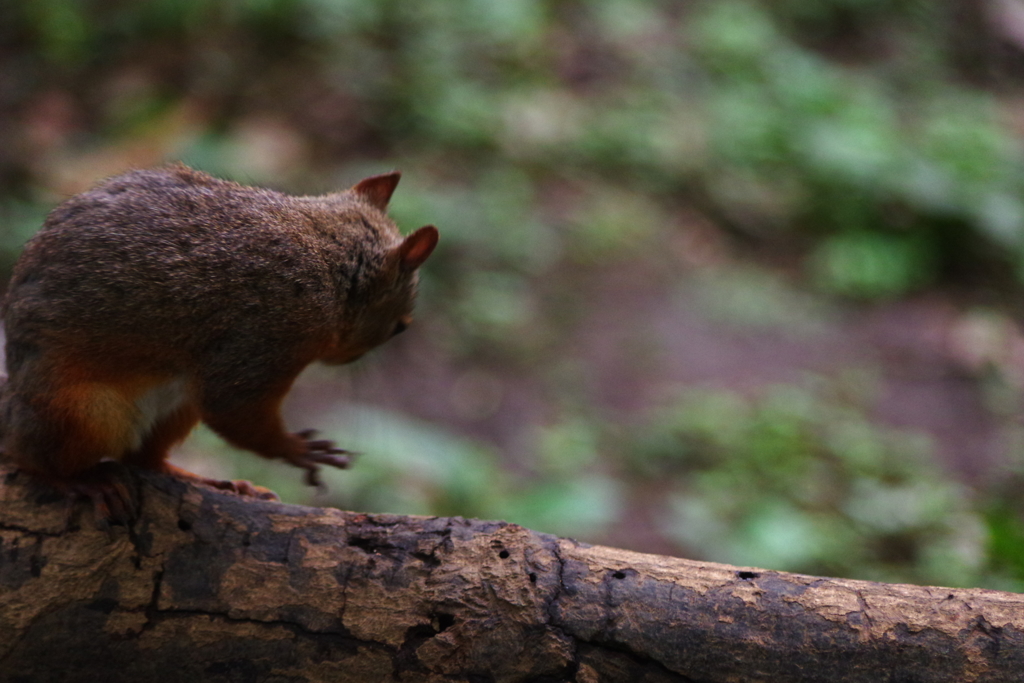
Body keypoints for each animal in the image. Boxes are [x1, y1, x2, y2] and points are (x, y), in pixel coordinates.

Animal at [0, 163, 436, 518]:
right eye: (401, 326)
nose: (351, 360)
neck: (327, 262)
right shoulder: (269, 332)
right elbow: (231, 406)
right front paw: (296, 448)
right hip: (83, 412)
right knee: (31, 458)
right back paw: (78, 480)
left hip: (176, 406)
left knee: (145, 459)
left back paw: (205, 481)